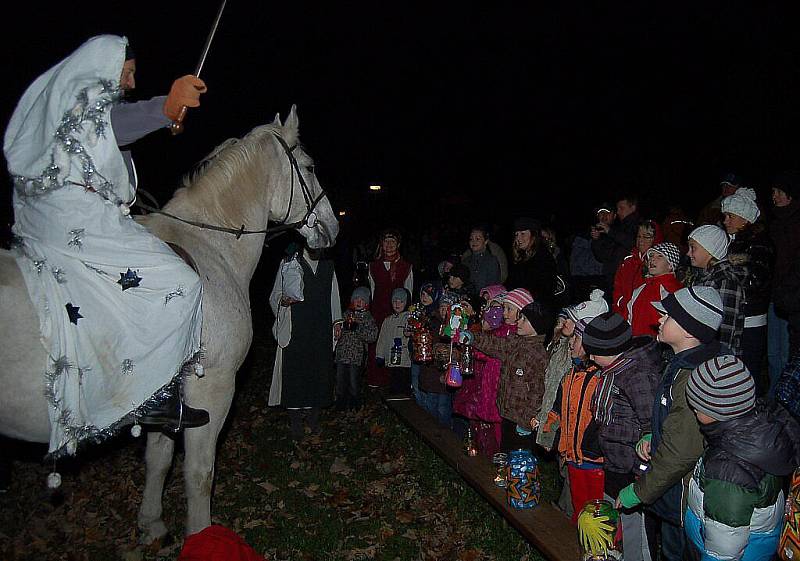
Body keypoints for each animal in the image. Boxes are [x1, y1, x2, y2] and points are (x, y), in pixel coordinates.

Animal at [0, 105, 336, 544]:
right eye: (310, 167)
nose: (332, 225)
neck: (212, 249)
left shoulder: (165, 395)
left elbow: (157, 459)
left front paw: (152, 524)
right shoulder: (213, 387)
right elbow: (199, 473)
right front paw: (201, 536)